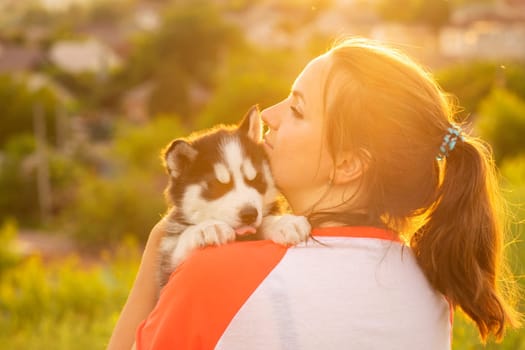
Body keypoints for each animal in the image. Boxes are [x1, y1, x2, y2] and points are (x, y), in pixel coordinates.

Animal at [158, 106, 310, 288]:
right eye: (218, 185)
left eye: (255, 179)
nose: (249, 214)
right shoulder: (167, 264)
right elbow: (181, 242)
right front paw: (207, 228)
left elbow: (265, 220)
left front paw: (284, 222)